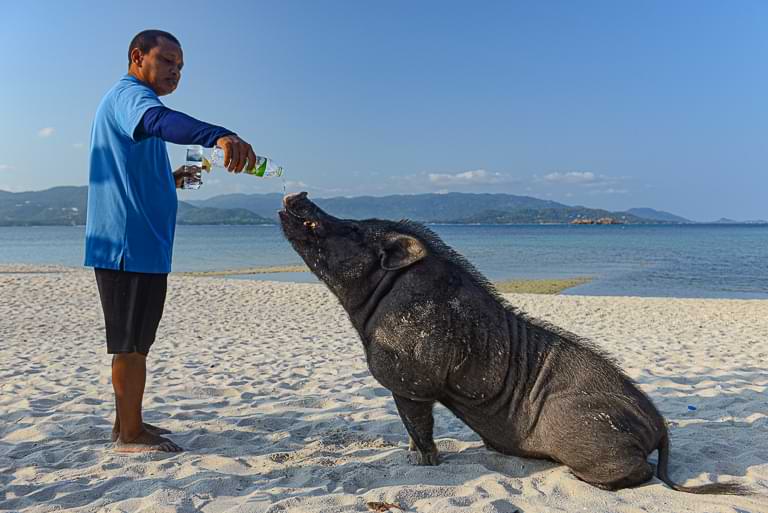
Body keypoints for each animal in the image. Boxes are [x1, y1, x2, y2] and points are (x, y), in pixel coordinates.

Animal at [278, 192, 746, 494]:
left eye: (354, 228)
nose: (297, 195)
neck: (379, 295)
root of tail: (660, 426)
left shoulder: (411, 381)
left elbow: (419, 426)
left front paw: (422, 463)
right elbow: (412, 429)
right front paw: (412, 457)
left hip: (588, 434)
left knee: (639, 474)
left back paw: (580, 479)